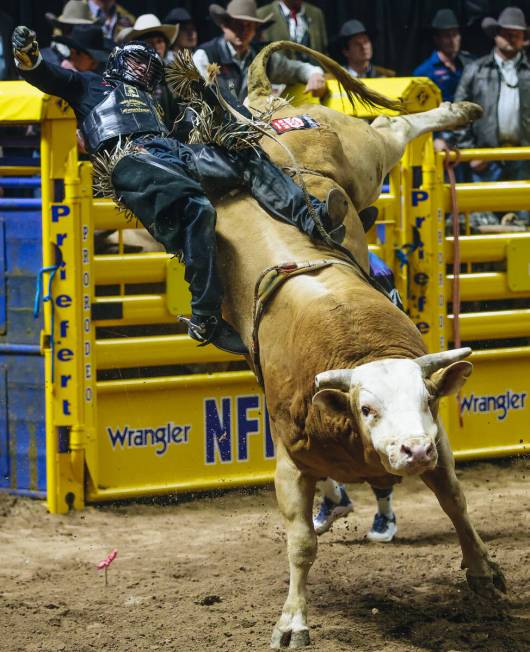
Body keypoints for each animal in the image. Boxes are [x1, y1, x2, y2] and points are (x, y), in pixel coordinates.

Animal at [210, 43, 504, 648]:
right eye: (366, 408)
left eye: (426, 400)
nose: (412, 451)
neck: (357, 351)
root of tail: (263, 106)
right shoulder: (291, 461)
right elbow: (301, 543)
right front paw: (293, 622)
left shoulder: (439, 440)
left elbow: (456, 501)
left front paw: (483, 573)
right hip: (363, 156)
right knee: (391, 127)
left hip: (364, 158)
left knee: (394, 126)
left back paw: (458, 110)